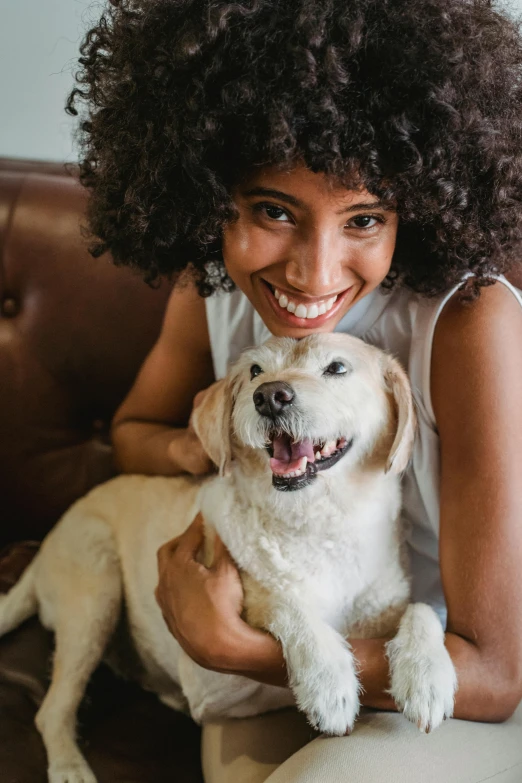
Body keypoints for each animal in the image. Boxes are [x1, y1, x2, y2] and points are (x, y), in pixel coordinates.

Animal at [0, 332, 456, 783]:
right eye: (255, 371)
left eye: (337, 367)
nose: (270, 396)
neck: (320, 524)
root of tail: (40, 554)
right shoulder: (216, 674)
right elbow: (286, 604)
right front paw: (328, 680)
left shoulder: (386, 606)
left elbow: (422, 610)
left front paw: (426, 674)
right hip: (96, 591)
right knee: (50, 711)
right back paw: (69, 767)